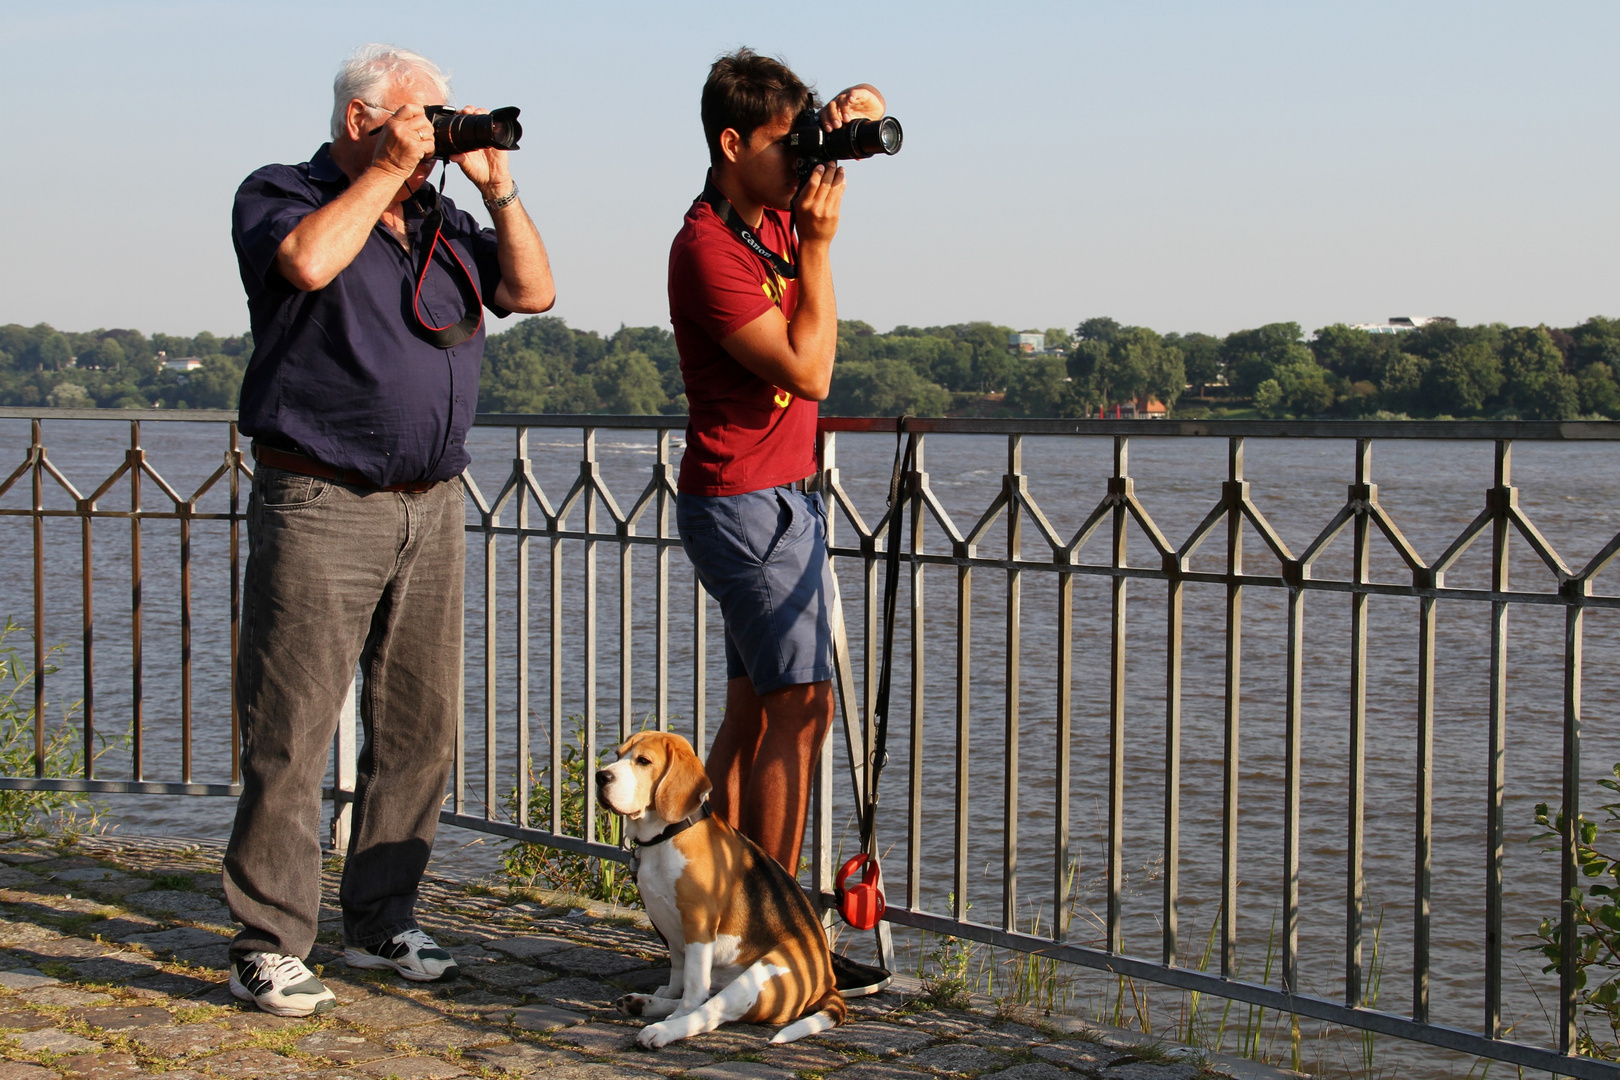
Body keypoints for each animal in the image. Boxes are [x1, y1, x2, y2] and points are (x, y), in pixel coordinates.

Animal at [596, 725, 848, 1049]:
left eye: (643, 761)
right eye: (617, 755)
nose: (601, 776)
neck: (667, 836)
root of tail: (827, 983)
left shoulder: (699, 924)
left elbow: (692, 988)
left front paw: (676, 1013)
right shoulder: (670, 927)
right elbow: (679, 971)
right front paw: (667, 993)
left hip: (760, 975)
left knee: (709, 1013)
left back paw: (662, 1030)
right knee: (706, 998)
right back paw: (644, 1004)